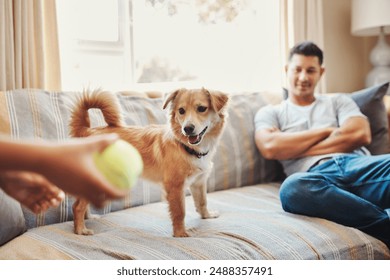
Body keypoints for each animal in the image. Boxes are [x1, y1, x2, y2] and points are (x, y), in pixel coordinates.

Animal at [69, 87, 229, 236]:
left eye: (201, 108)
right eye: (181, 111)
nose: (187, 128)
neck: (187, 147)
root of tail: (87, 130)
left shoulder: (199, 182)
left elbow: (202, 202)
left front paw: (207, 216)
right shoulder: (175, 186)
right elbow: (179, 212)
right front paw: (180, 233)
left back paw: (89, 217)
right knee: (77, 206)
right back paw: (81, 229)